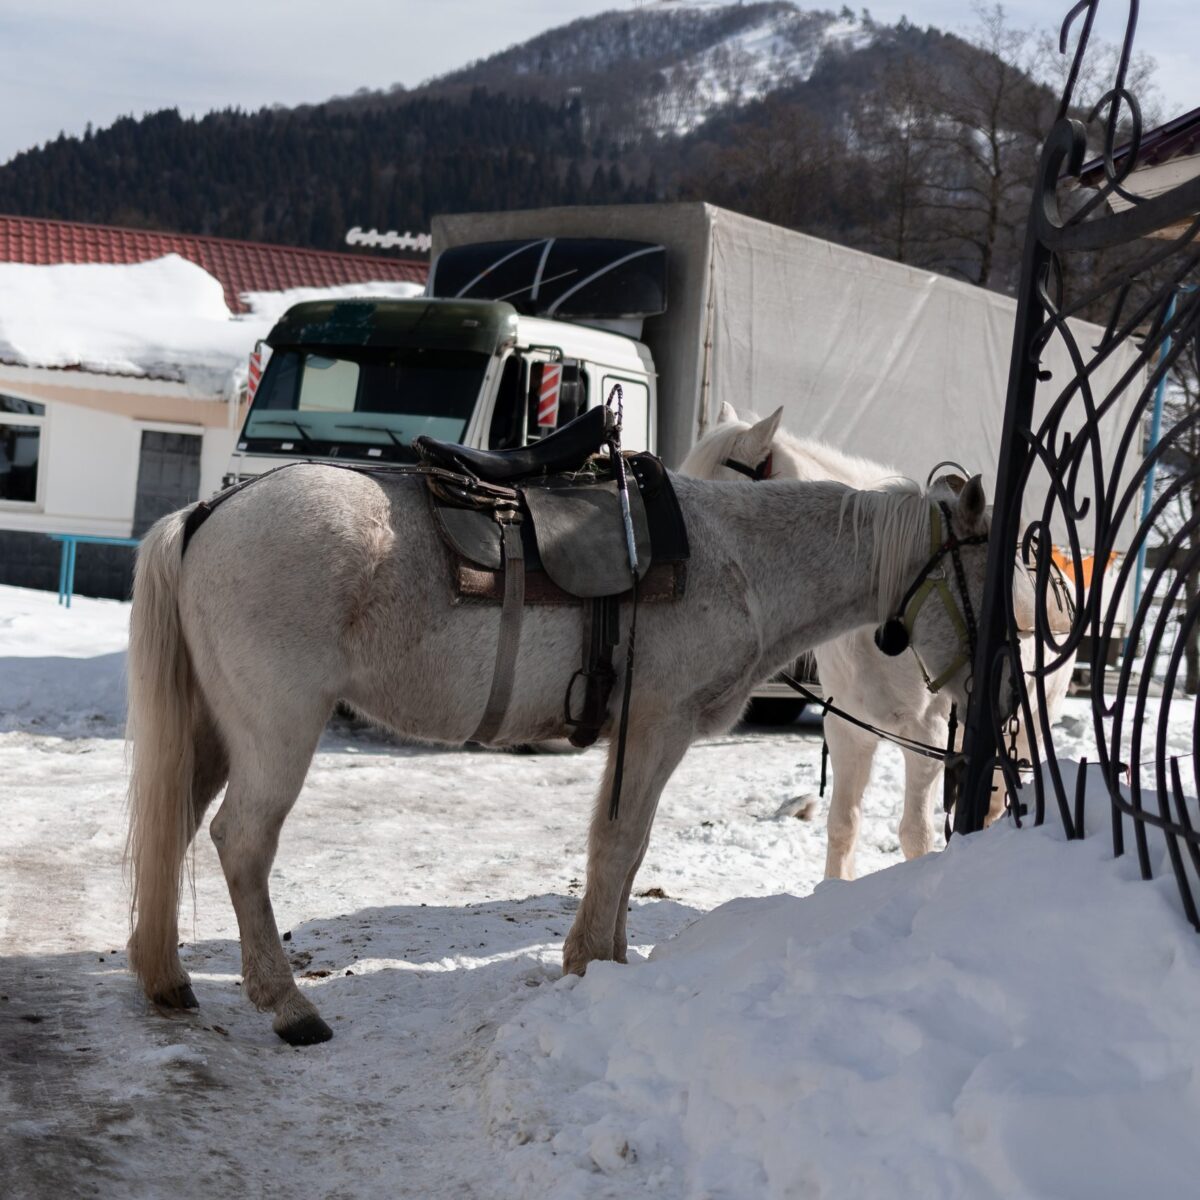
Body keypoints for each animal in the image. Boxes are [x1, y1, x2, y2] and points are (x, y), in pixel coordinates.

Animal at [126, 403, 998, 1041]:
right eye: (987, 571)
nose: (991, 678)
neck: (738, 560)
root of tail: (209, 511)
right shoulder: (655, 727)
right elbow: (617, 842)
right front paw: (586, 962)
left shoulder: (646, 738)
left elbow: (631, 846)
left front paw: (609, 958)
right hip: (277, 731)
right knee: (242, 841)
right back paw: (287, 1005)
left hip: (217, 730)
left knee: (176, 825)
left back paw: (166, 977)